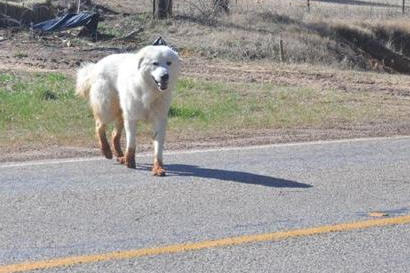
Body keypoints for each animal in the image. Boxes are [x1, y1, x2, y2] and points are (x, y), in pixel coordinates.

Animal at [75, 45, 181, 175]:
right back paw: (107, 151)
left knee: (114, 135)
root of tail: (96, 66)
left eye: (169, 63)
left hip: (121, 114)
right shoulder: (131, 118)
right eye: (155, 63)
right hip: (108, 108)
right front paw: (130, 162)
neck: (148, 89)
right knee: (99, 126)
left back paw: (120, 156)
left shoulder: (159, 120)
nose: (165, 76)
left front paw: (158, 168)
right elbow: (131, 143)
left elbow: (158, 148)